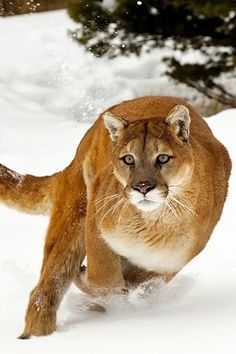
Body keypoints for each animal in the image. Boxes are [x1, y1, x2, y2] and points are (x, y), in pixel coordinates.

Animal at [0, 94, 232, 338]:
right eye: (128, 159)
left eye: (163, 158)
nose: (142, 187)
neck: (152, 222)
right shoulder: (95, 222)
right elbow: (105, 277)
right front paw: (88, 281)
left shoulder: (169, 263)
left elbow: (138, 283)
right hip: (75, 217)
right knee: (45, 287)